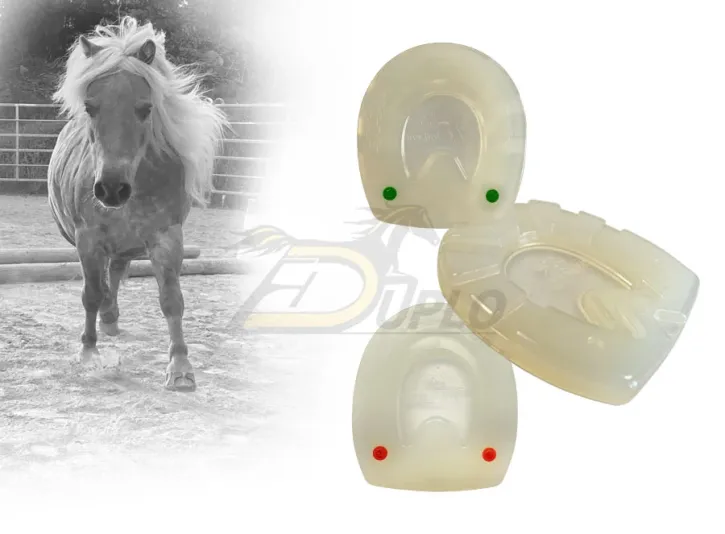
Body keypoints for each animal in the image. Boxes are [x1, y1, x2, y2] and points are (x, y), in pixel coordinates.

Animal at [47, 17, 228, 392]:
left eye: (146, 109)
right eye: (90, 107)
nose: (111, 189)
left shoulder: (166, 238)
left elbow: (171, 300)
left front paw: (180, 367)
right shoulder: (88, 240)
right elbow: (90, 293)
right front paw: (88, 354)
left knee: (115, 273)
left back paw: (111, 318)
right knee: (104, 281)